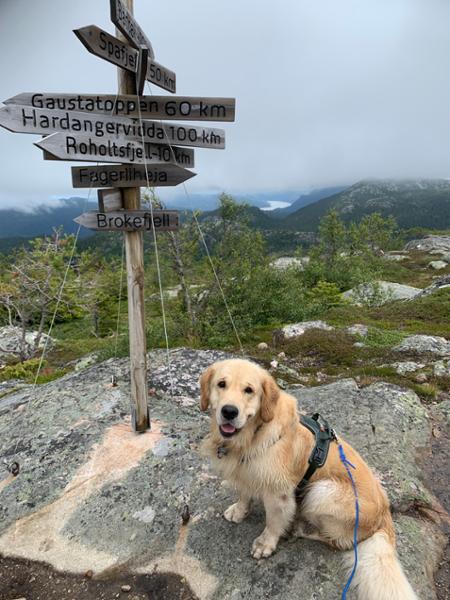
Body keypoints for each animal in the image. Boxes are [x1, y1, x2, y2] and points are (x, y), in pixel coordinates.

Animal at [200, 358, 418, 596]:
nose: (229, 411)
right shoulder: (245, 472)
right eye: (221, 384)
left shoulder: (278, 493)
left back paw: (301, 529)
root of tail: (385, 515)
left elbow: (273, 521)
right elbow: (243, 494)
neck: (253, 435)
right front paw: (239, 510)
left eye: (249, 390)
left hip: (322, 492)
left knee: (338, 541)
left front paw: (265, 544)